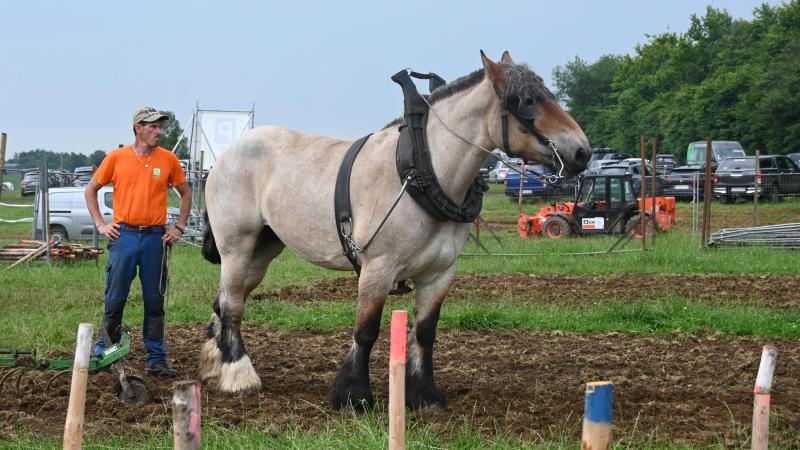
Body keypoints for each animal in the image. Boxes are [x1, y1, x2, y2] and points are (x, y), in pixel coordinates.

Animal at [199, 51, 590, 409]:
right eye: (525, 101)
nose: (582, 152)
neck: (422, 169)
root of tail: (226, 156)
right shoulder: (378, 268)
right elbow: (366, 330)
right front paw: (353, 395)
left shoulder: (439, 274)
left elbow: (425, 332)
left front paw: (424, 395)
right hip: (236, 246)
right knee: (232, 305)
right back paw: (239, 375)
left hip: (264, 249)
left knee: (224, 300)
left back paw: (215, 363)